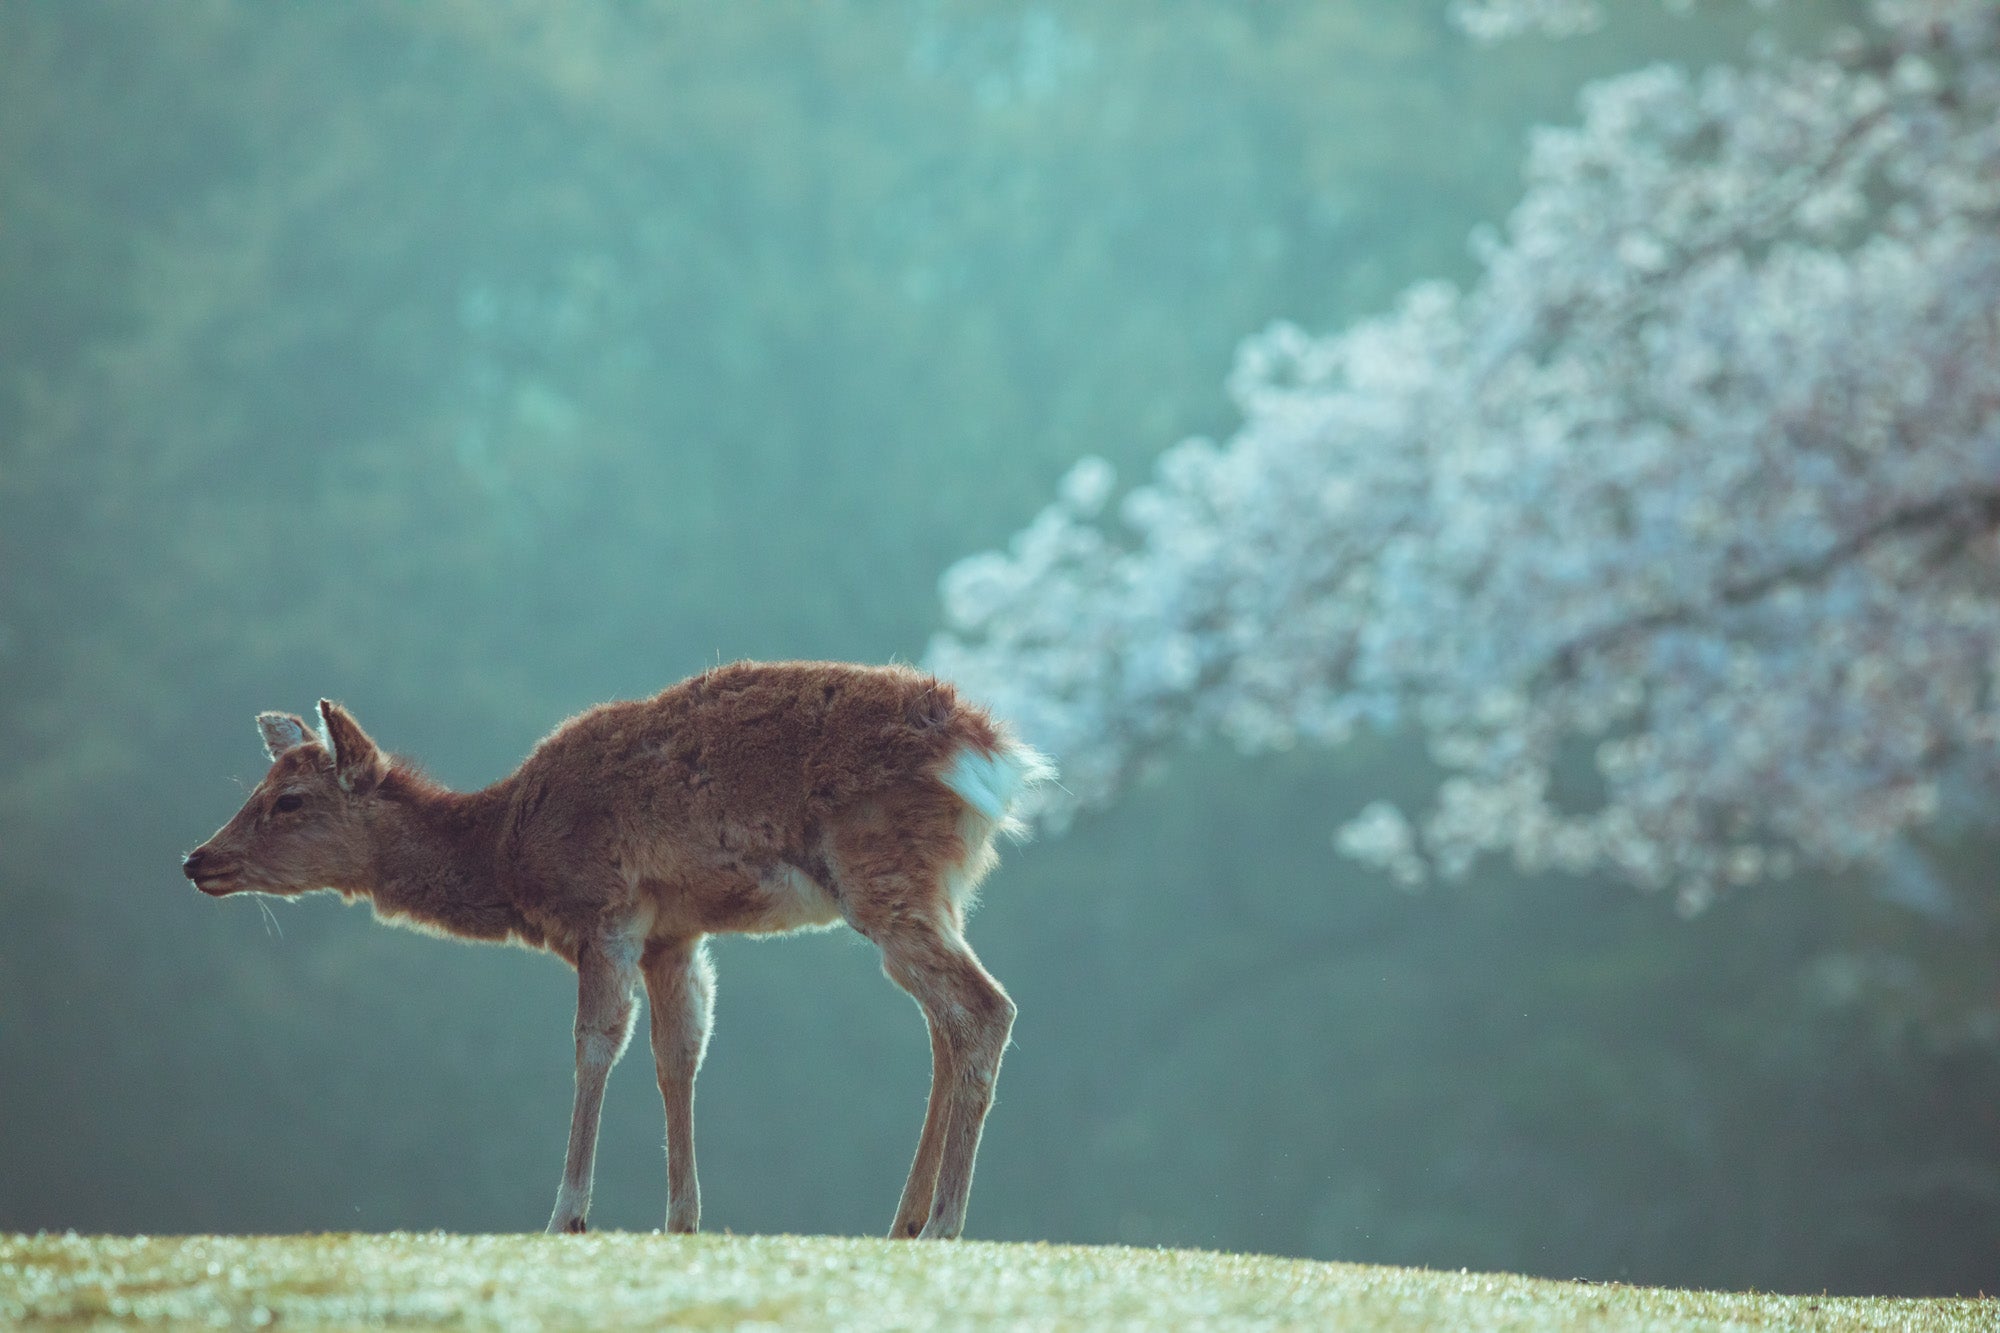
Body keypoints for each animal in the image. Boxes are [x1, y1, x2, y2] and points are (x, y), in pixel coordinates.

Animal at [186, 660, 1056, 1240]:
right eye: (256, 789)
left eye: (289, 800)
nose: (197, 859)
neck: (505, 848)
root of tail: (994, 755)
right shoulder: (675, 932)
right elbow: (679, 1055)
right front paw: (682, 1219)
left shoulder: (606, 909)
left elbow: (595, 1046)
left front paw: (567, 1213)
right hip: (938, 890)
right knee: (947, 1024)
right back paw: (904, 1221)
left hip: (883, 873)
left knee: (986, 1007)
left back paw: (943, 1223)